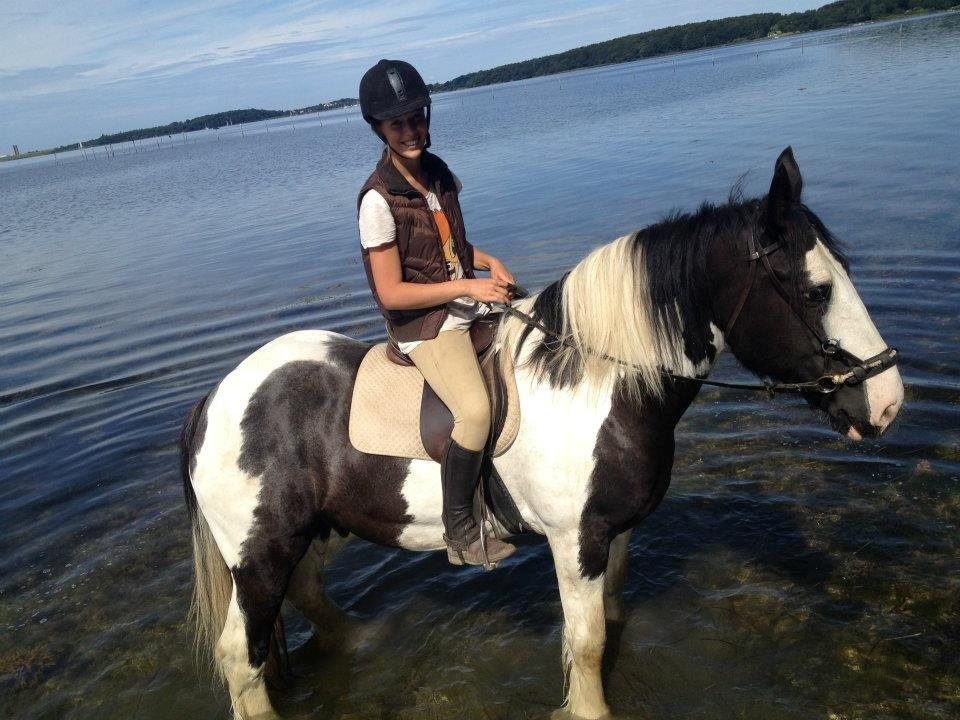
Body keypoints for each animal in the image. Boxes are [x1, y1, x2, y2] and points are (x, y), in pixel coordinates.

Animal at [180, 149, 908, 716]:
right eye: (814, 291)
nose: (889, 402)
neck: (600, 384)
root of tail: (215, 399)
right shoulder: (573, 540)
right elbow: (584, 644)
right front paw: (587, 711)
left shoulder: (614, 534)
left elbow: (610, 619)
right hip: (258, 551)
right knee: (241, 656)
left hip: (303, 534)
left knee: (304, 595)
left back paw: (360, 641)